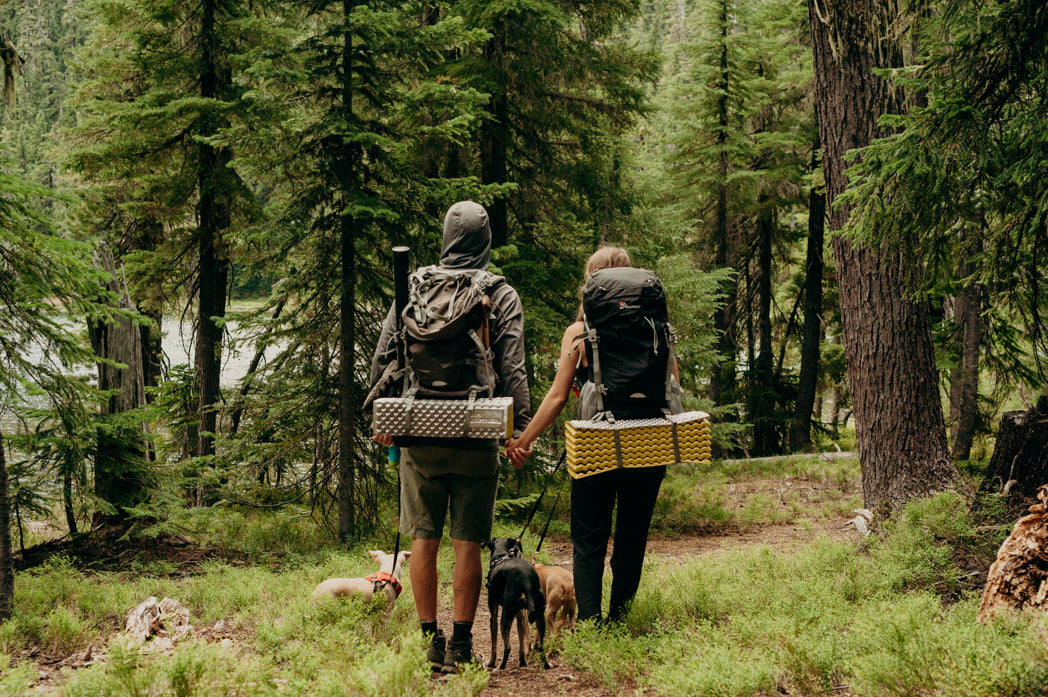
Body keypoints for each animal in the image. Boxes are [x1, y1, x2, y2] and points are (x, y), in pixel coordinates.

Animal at [482, 536, 549, 670]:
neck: (501, 556)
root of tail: (526, 578)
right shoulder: (520, 614)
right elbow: (522, 641)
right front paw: (522, 661)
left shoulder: (493, 613)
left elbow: (493, 645)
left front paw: (491, 663)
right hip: (539, 616)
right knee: (541, 646)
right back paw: (546, 665)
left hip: (505, 616)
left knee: (507, 648)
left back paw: (500, 667)